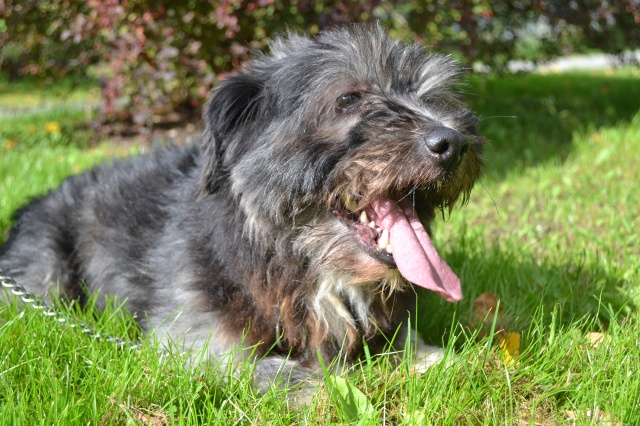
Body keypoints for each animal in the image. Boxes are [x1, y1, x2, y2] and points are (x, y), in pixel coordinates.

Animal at [0, 23, 484, 394]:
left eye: (434, 97)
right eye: (349, 98)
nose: (452, 142)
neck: (278, 254)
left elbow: (410, 339)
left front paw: (441, 358)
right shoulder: (186, 338)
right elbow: (273, 369)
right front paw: (333, 387)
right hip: (44, 275)